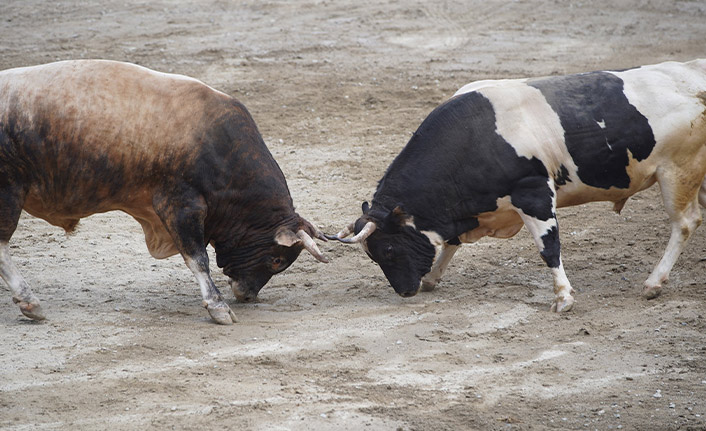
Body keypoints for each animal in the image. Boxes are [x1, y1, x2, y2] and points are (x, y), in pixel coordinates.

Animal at [0, 59, 328, 326]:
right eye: (276, 260)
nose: (247, 295)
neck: (219, 149)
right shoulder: (182, 206)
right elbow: (198, 258)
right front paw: (218, 306)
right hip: (9, 191)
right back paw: (29, 301)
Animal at [330, 59, 704, 312]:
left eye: (388, 250)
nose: (405, 291)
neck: (476, 138)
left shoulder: (533, 194)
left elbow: (549, 248)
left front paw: (563, 298)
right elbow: (450, 242)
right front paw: (433, 278)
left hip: (678, 173)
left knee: (685, 223)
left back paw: (654, 283)